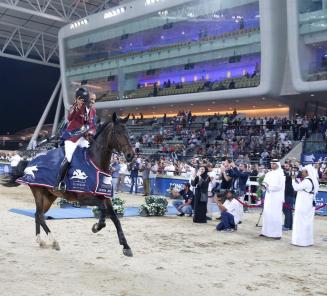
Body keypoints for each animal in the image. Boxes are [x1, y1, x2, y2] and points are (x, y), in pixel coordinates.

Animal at [28, 113, 135, 256]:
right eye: (117, 132)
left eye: (128, 133)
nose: (130, 155)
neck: (95, 163)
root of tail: (32, 160)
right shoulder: (84, 198)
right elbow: (103, 209)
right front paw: (98, 226)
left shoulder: (104, 196)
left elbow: (114, 217)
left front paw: (126, 246)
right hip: (38, 192)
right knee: (40, 215)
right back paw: (53, 241)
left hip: (49, 196)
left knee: (38, 215)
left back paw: (41, 241)